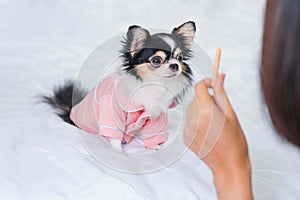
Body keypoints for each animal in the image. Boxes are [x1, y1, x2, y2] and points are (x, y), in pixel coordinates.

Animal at [43, 21, 196, 151]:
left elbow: (153, 133)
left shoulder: (156, 115)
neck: (154, 84)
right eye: (157, 60)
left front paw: (154, 147)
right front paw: (118, 152)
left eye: (180, 58)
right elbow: (115, 134)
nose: (175, 65)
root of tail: (69, 111)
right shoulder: (111, 111)